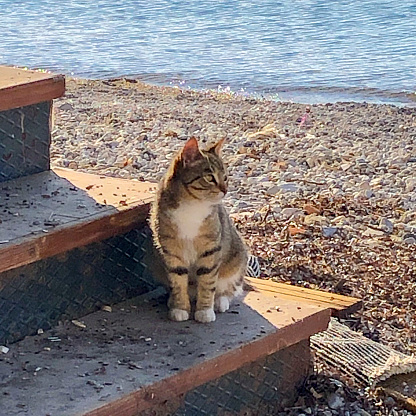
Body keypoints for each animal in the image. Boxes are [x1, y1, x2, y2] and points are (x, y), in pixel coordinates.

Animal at [150, 136, 247, 322]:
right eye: (209, 177)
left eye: (225, 177)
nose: (225, 190)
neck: (192, 205)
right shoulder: (171, 249)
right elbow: (178, 281)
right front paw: (180, 308)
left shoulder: (211, 248)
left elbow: (208, 281)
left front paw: (205, 311)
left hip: (237, 260)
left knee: (230, 288)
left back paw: (220, 301)